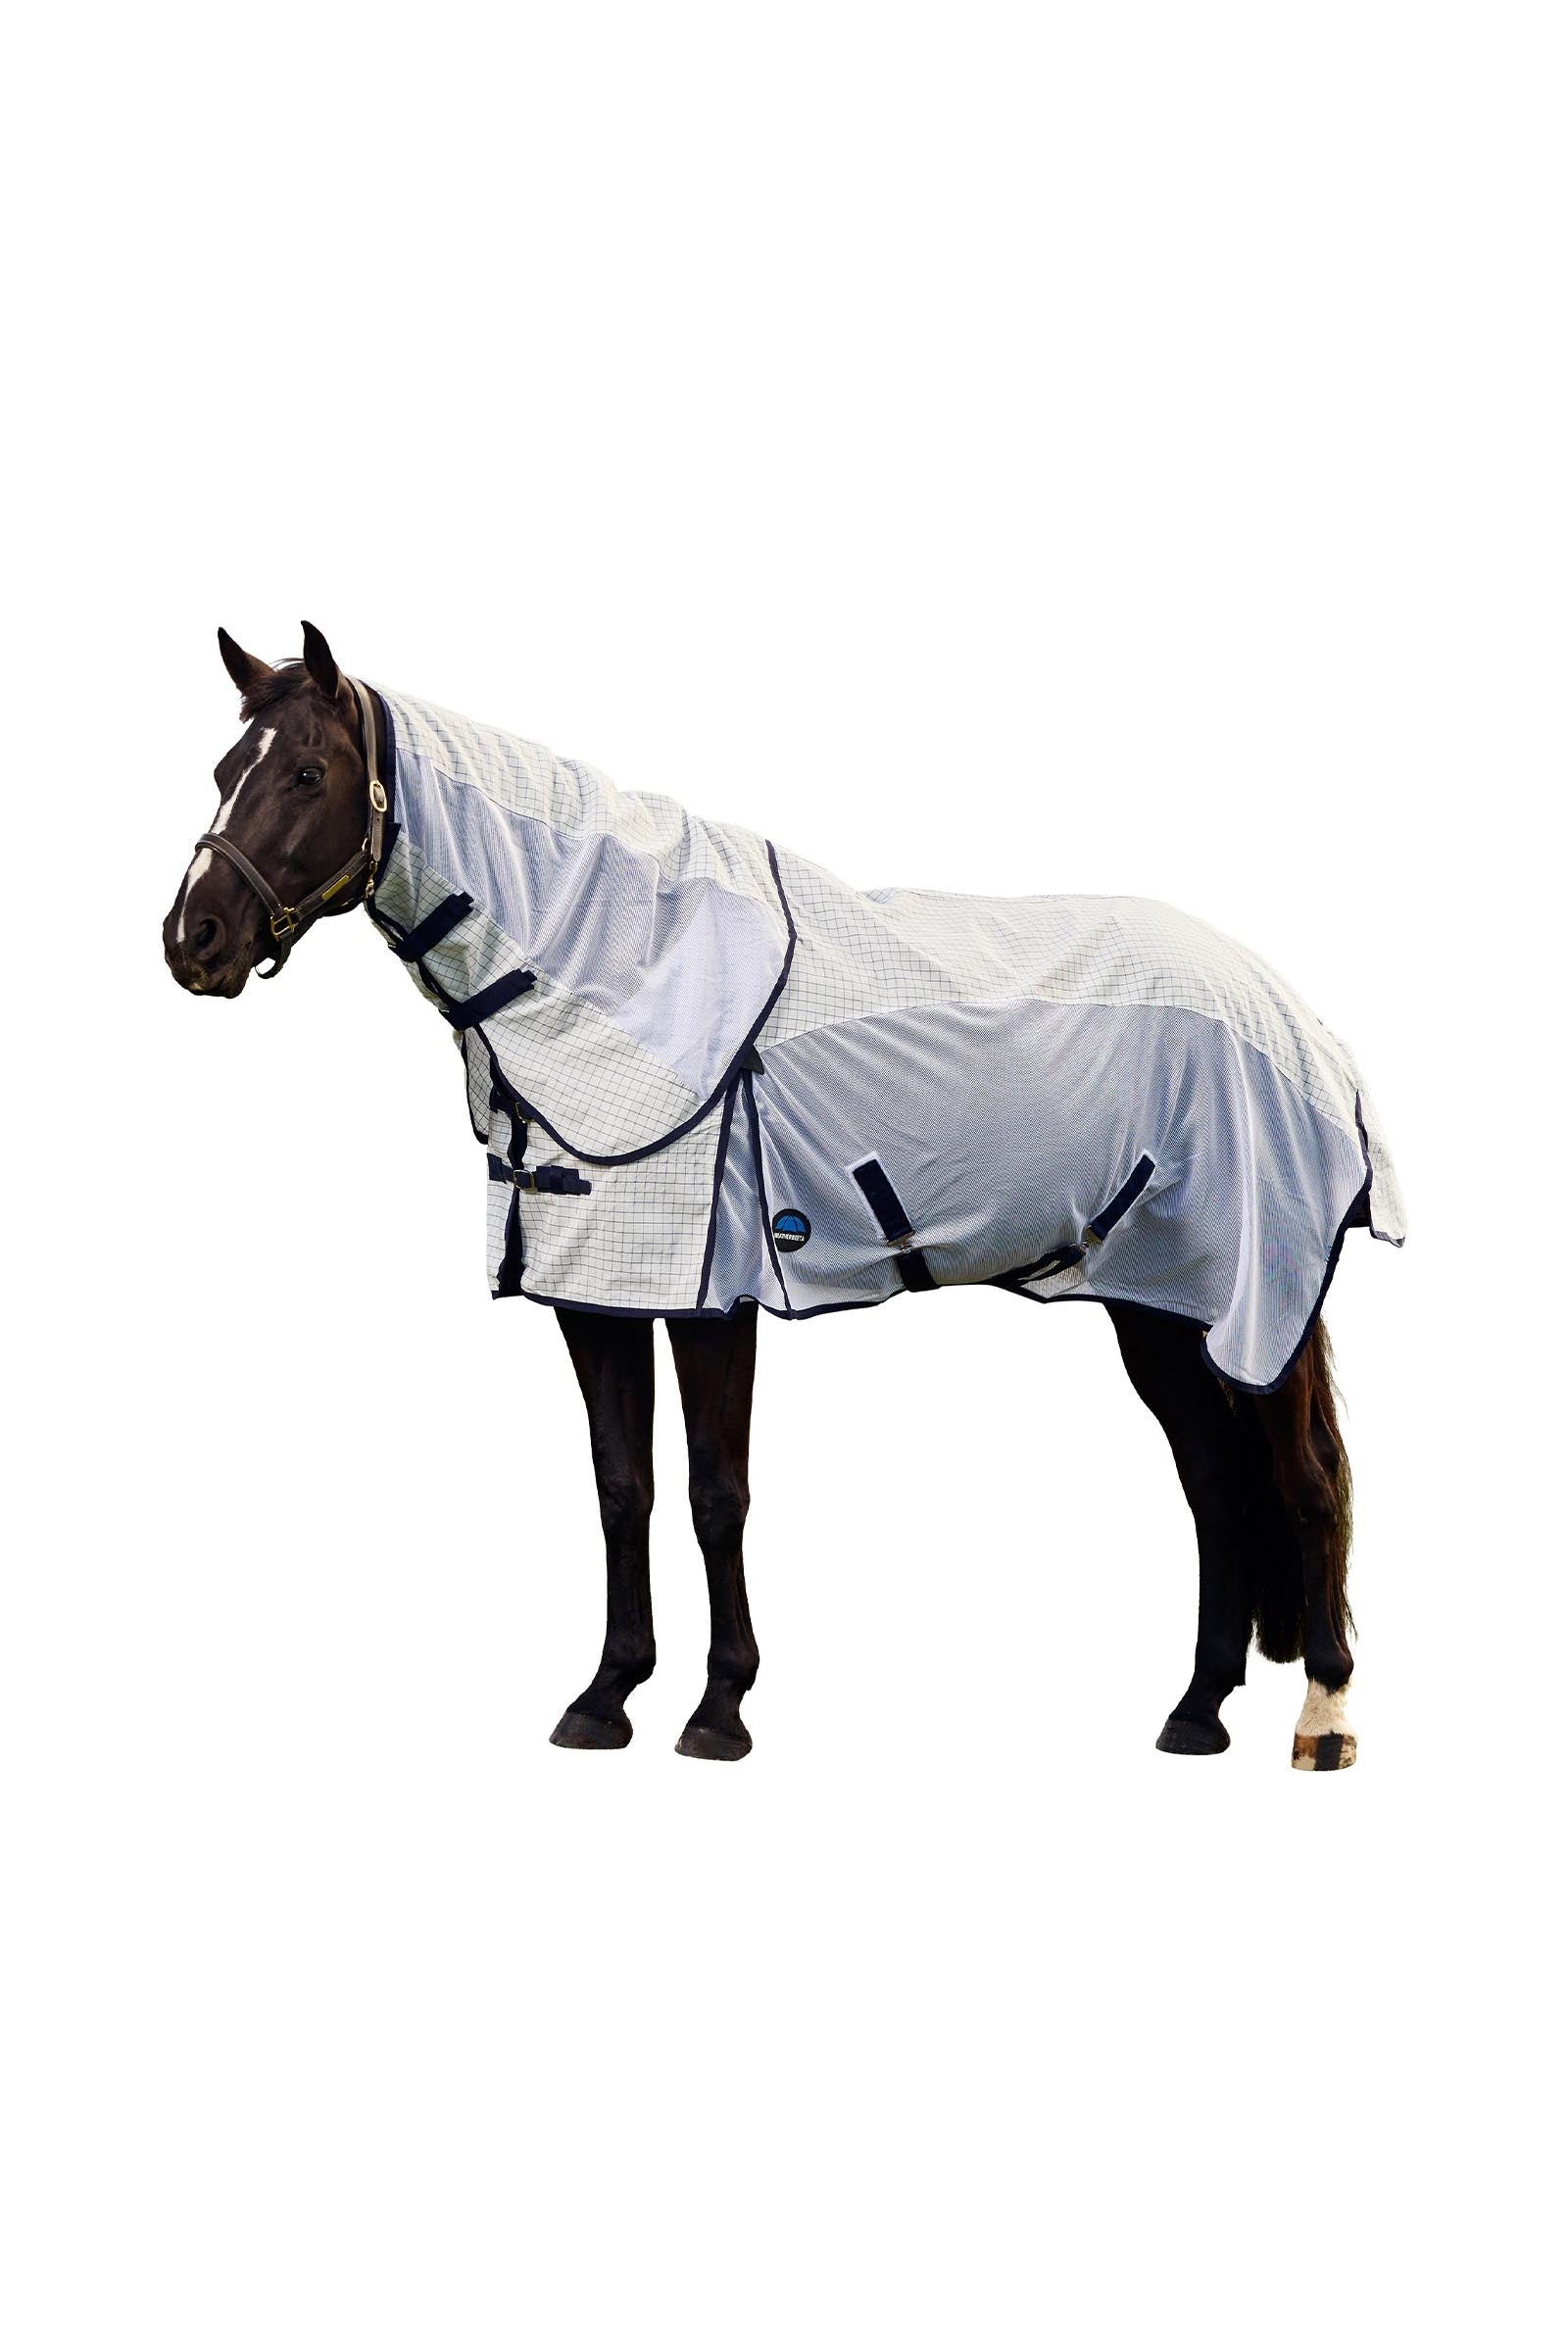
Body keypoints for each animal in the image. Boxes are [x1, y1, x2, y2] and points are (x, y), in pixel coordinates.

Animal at [164, 622, 1398, 1771]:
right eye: (225, 769)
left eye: (306, 773)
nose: (192, 939)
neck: (620, 963)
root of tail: (1300, 1022)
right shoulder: (597, 1291)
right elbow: (622, 1488)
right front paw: (606, 1697)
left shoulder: (713, 1296)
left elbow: (717, 1493)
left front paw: (718, 1710)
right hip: (1160, 1307)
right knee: (1215, 1486)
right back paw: (1195, 1712)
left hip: (1252, 1306)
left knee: (1305, 1481)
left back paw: (1323, 1719)